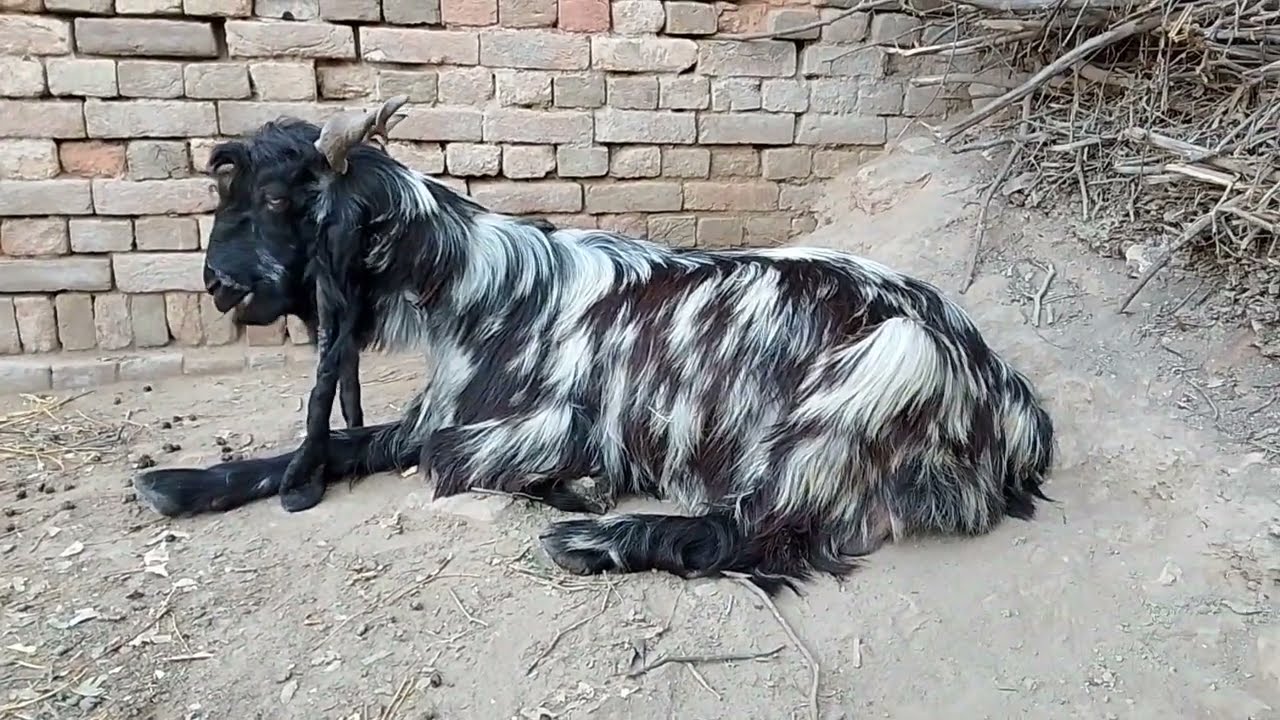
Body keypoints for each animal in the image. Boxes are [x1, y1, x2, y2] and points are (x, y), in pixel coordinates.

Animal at [134, 97, 1056, 594]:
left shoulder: (551, 423)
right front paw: (179, 483)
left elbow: (443, 461)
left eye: (283, 198)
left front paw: (576, 490)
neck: (482, 292)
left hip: (878, 371)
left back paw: (594, 541)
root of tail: (1011, 403)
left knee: (765, 531)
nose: (218, 283)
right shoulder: (440, 410)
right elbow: (347, 443)